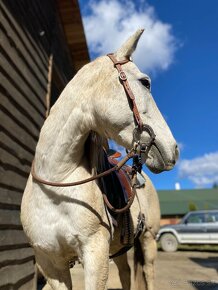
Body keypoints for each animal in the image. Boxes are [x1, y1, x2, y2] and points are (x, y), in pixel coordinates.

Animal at [20, 30, 178, 290]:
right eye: (145, 82)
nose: (174, 149)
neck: (56, 184)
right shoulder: (50, 264)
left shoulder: (95, 254)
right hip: (121, 247)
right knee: (125, 273)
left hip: (148, 239)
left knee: (148, 272)